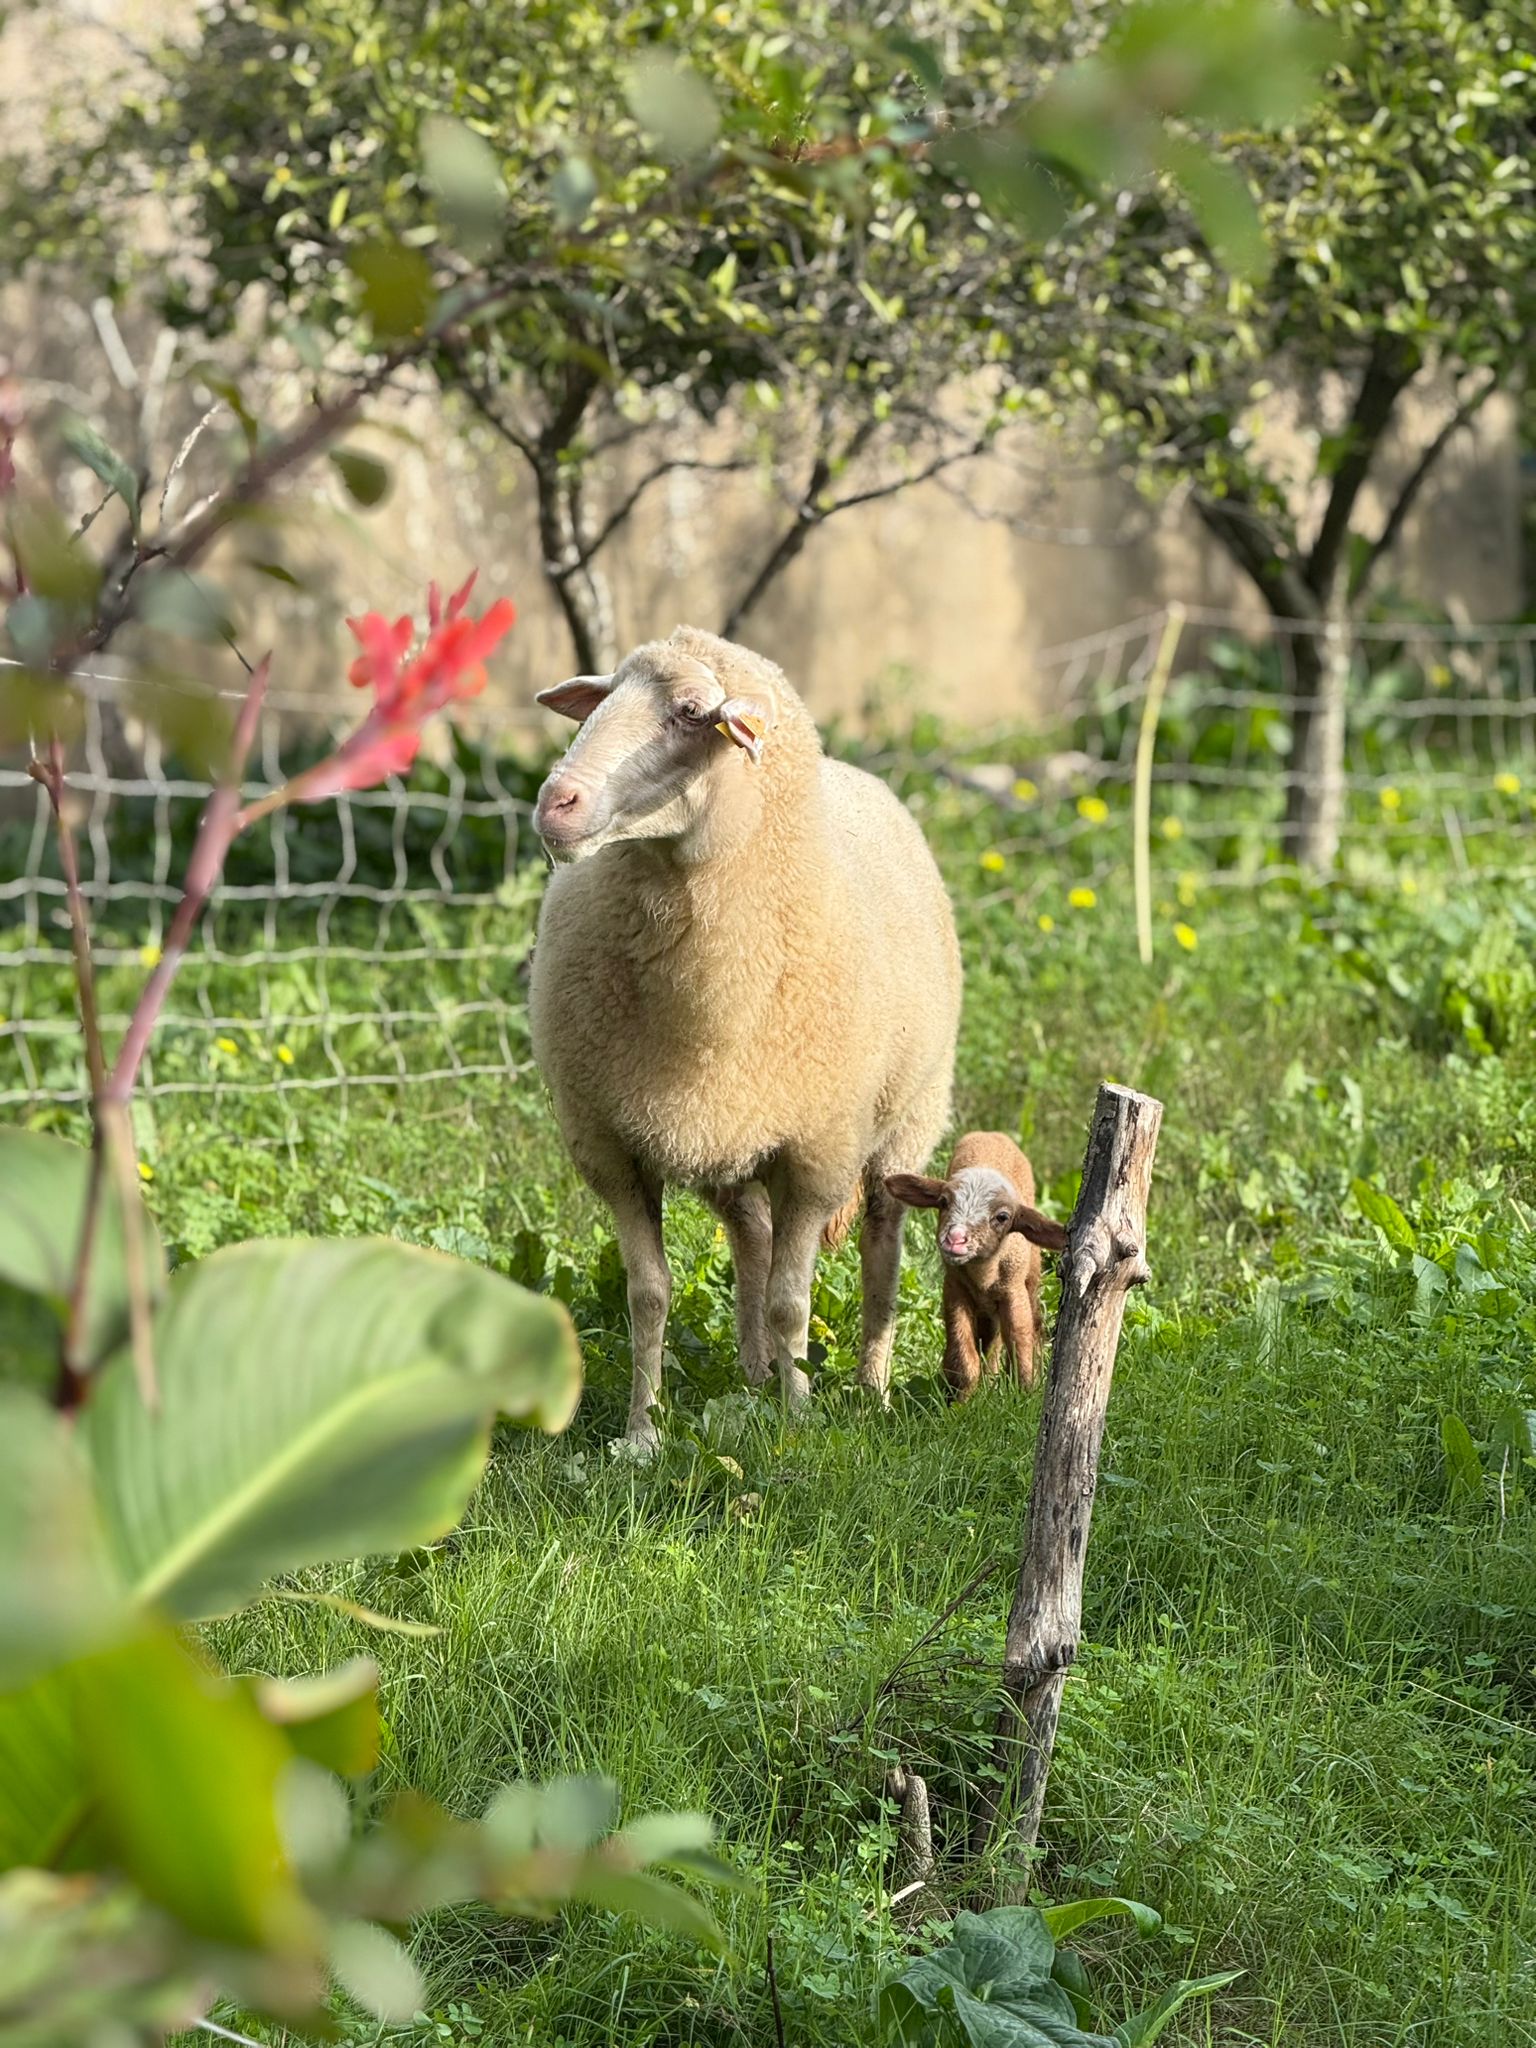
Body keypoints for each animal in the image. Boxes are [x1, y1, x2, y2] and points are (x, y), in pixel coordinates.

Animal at [527, 624, 961, 1450]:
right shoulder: (612, 1147)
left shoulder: (818, 1152)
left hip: (906, 1119)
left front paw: (799, 1424)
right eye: (604, 698)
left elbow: (795, 1299)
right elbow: (648, 1295)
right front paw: (642, 1434)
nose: (555, 804)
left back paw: (870, 1386)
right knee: (752, 1234)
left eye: (693, 713)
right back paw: (757, 1372)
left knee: (881, 1247)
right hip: (724, 1136)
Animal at [885, 1132, 1067, 1400]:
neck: (984, 1275)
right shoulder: (955, 1289)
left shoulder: (1013, 1291)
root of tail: (995, 1134)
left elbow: (1021, 1345)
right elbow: (963, 1358)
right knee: (990, 1340)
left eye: (1002, 1217)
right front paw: (960, 1402)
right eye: (943, 1202)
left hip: (1030, 1276)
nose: (955, 1239)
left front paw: (1025, 1395)